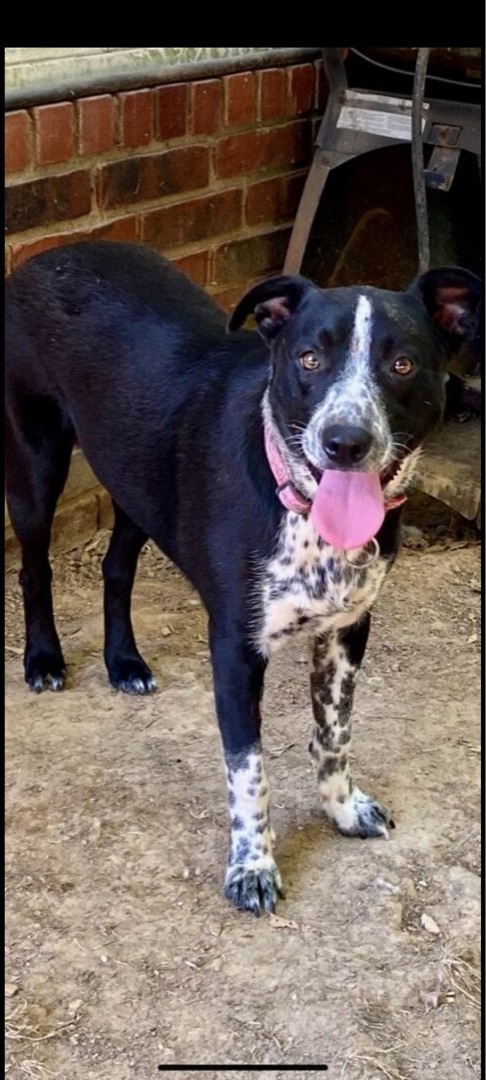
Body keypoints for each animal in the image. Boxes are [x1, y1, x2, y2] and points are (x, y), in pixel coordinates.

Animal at [5, 243, 479, 911]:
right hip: (35, 459)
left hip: (137, 479)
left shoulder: (347, 629)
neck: (302, 512)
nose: (345, 442)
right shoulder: (234, 648)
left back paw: (124, 662)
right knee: (34, 567)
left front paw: (342, 809)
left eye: (403, 364)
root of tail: (51, 254)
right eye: (309, 358)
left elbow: (334, 732)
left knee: (116, 567)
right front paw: (252, 867)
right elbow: (248, 770)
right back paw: (44, 659)